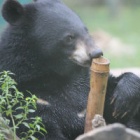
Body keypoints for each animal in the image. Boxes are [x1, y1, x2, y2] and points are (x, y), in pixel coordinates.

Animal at [0, 0, 140, 139]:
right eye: (69, 37)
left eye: (86, 31)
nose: (96, 53)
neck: (57, 74)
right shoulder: (27, 97)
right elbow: (38, 127)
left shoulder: (86, 84)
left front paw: (124, 100)